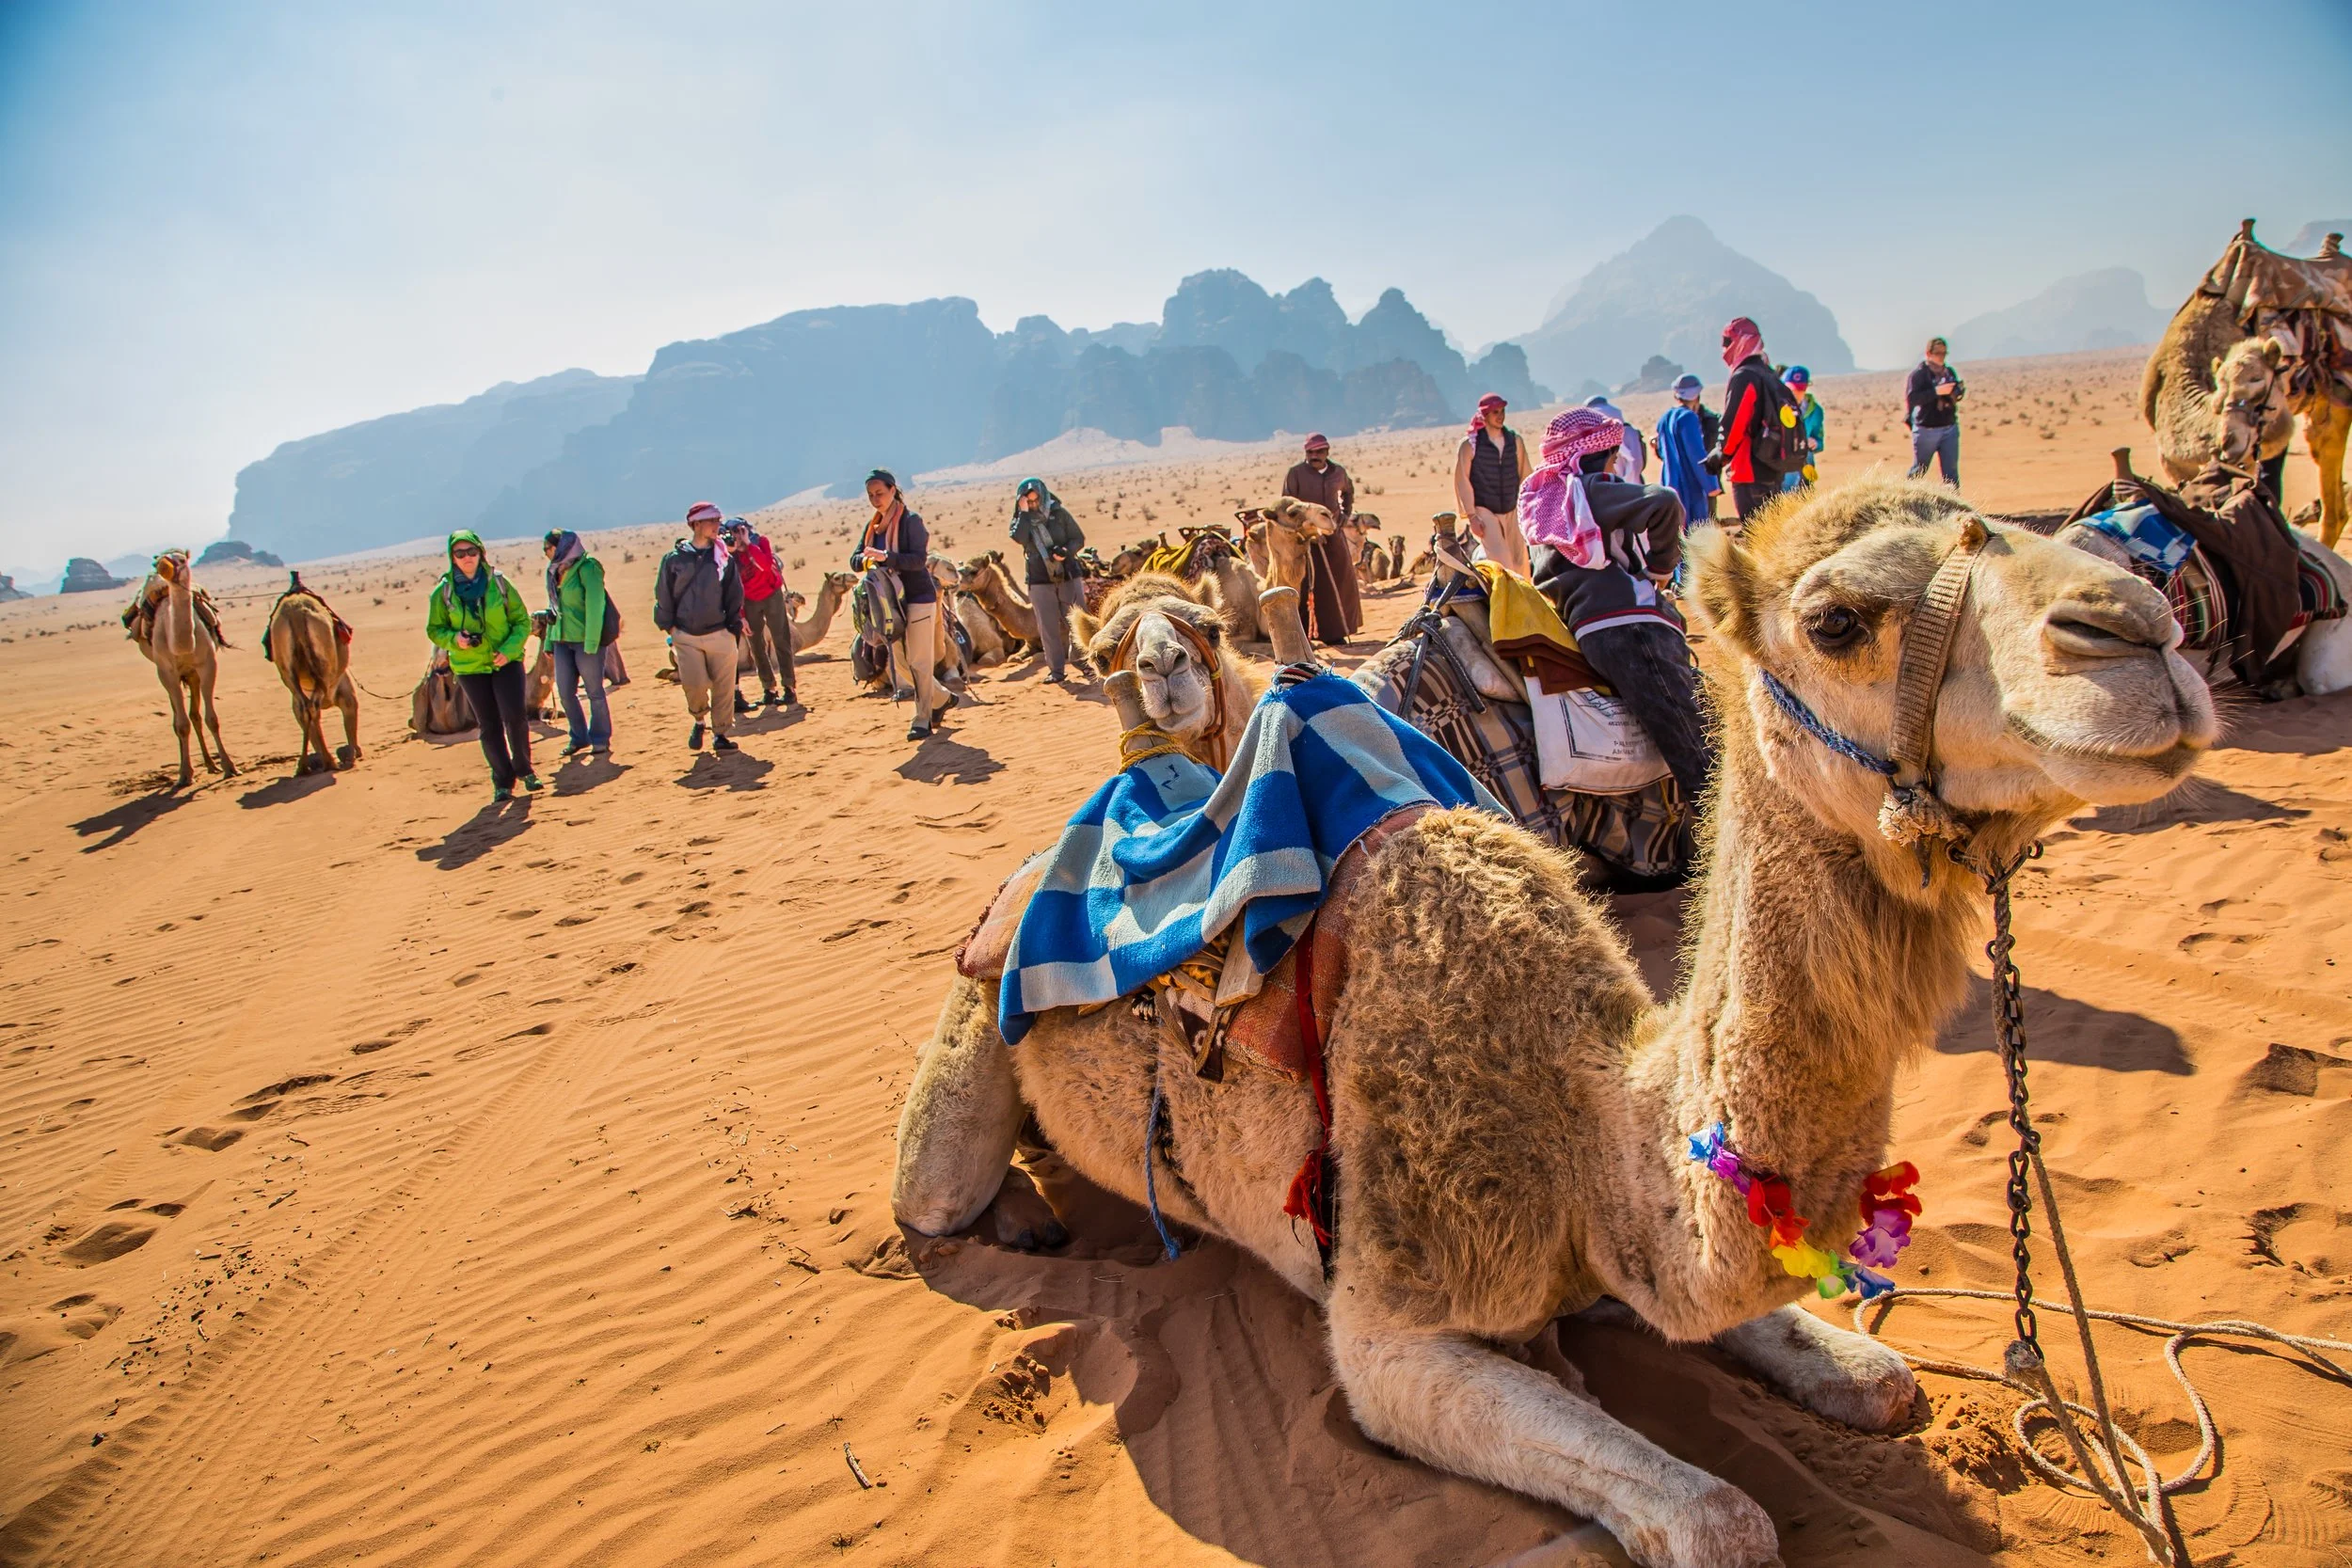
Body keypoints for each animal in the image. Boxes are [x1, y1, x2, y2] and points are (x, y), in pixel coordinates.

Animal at [129, 551, 235, 787]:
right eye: (158, 560)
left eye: (181, 559)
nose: (162, 565)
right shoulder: (166, 671)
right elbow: (181, 724)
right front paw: (185, 774)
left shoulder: (208, 664)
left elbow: (211, 719)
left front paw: (229, 767)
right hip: (172, 675)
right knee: (179, 717)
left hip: (193, 674)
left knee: (194, 714)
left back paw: (211, 764)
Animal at [266, 576, 360, 774]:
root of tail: (295, 613)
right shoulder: (346, 689)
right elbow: (351, 715)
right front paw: (356, 751)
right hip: (324, 670)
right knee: (314, 707)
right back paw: (329, 762)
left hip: (289, 674)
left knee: (305, 709)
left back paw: (304, 766)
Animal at [895, 477, 2216, 1568]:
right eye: (1835, 619)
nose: (2139, 631)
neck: (1585, 1119)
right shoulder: (1390, 1332)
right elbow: (1722, 1522)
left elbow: (1884, 1378)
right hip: (968, 1022)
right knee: (932, 1200)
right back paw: (1020, 1212)